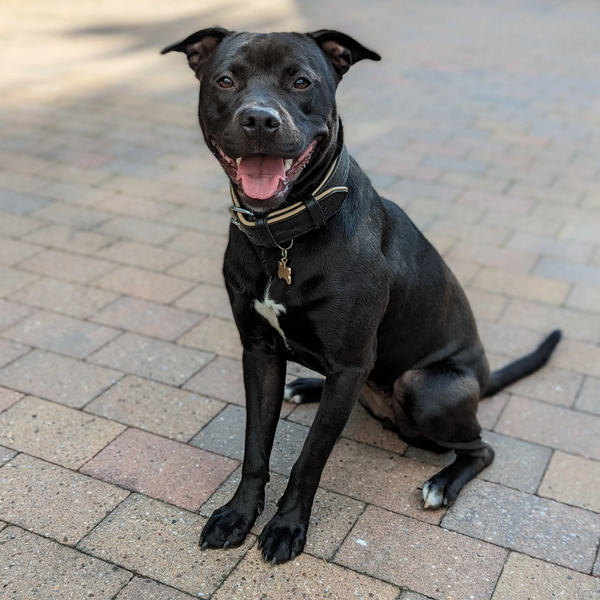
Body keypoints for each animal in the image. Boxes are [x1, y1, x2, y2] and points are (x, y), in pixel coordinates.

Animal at [161, 27, 564, 564]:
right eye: (226, 80)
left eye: (302, 80)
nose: (260, 119)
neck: (284, 235)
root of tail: (482, 381)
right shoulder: (259, 352)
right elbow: (255, 448)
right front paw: (238, 515)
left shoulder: (351, 362)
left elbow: (309, 459)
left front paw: (286, 526)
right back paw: (307, 386)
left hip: (424, 388)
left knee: (482, 447)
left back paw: (441, 484)